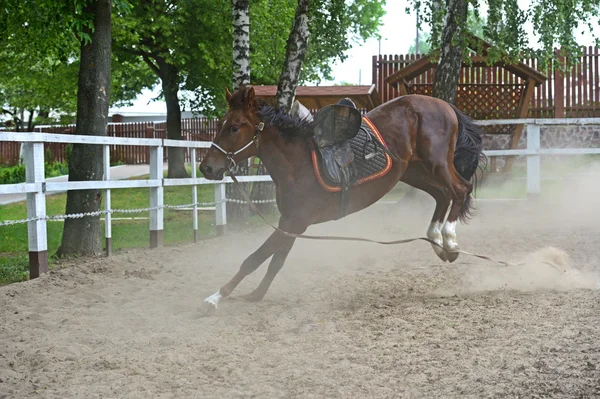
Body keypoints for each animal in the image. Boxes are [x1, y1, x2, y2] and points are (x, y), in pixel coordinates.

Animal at [199, 85, 486, 310]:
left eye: (234, 127)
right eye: (221, 125)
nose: (207, 168)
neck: (298, 161)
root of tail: (445, 106)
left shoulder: (294, 221)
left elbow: (254, 259)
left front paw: (215, 298)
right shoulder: (291, 223)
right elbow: (275, 262)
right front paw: (255, 294)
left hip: (436, 164)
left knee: (460, 190)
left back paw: (449, 241)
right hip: (413, 172)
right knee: (443, 195)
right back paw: (437, 241)